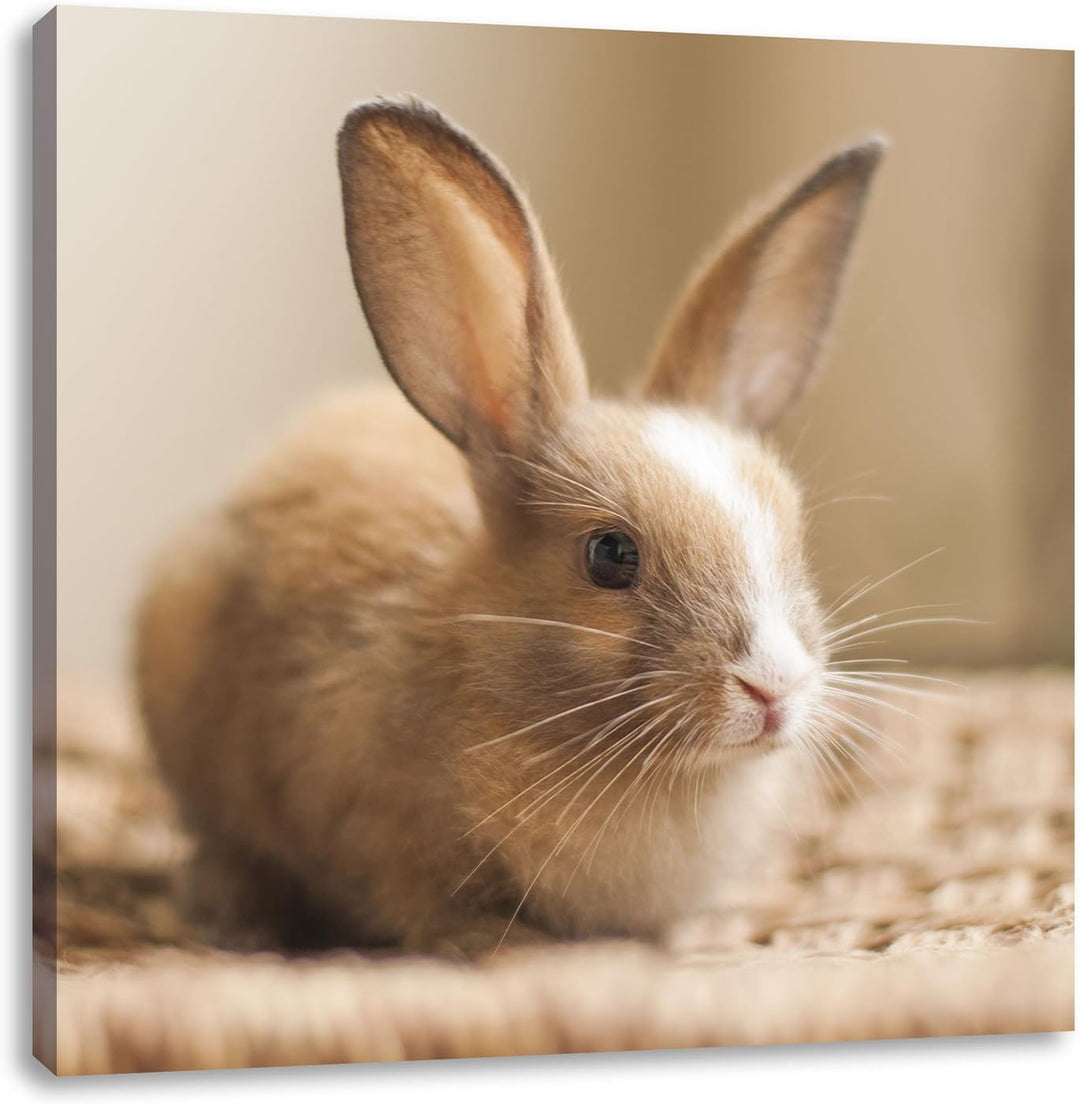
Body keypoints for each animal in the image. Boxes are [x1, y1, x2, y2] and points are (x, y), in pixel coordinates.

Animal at [135, 96, 885, 958]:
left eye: (793, 532)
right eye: (610, 555)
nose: (773, 686)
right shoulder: (377, 833)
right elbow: (419, 905)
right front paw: (500, 942)